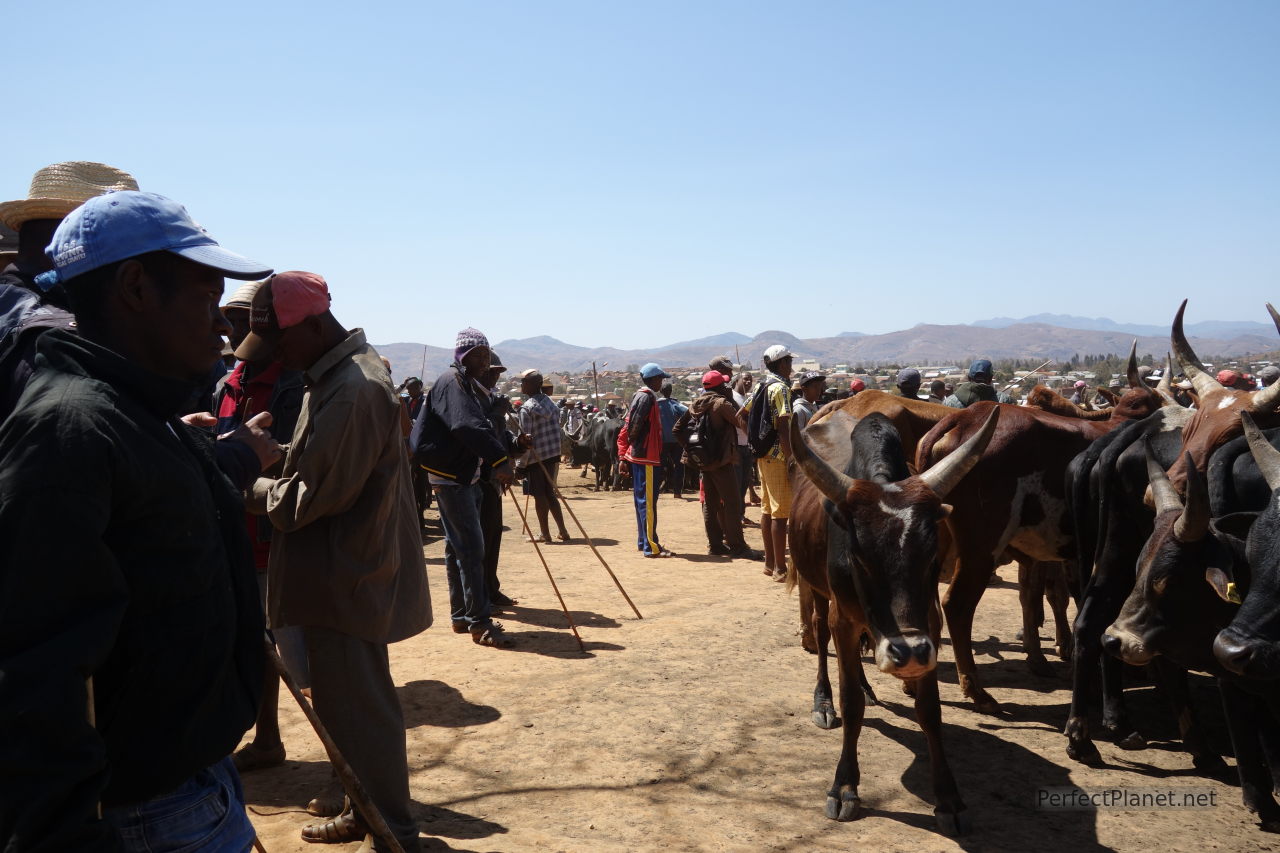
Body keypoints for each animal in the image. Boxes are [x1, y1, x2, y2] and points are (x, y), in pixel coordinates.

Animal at [788, 404, 998, 829]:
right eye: (859, 556)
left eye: (932, 556)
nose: (909, 654)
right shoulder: (843, 620)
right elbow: (851, 704)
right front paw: (844, 787)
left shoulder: (929, 623)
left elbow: (930, 710)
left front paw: (948, 797)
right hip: (813, 586)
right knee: (820, 636)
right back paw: (823, 701)